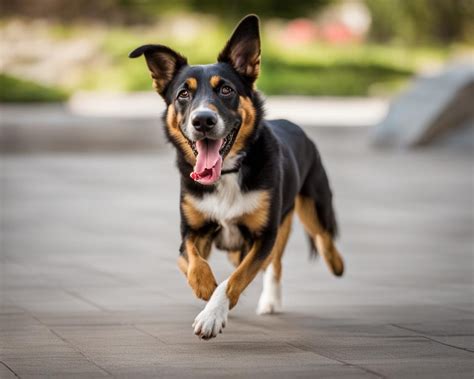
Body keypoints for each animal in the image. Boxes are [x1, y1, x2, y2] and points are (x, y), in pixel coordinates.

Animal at [130, 14, 344, 342]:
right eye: (183, 94)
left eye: (226, 90)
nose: (203, 121)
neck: (228, 172)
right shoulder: (192, 232)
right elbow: (194, 263)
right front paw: (205, 291)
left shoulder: (264, 235)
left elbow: (234, 279)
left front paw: (212, 314)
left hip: (314, 203)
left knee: (320, 238)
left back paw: (332, 266)